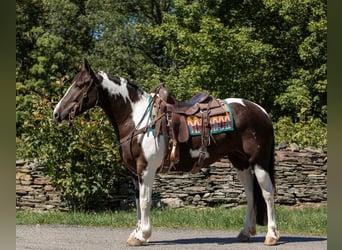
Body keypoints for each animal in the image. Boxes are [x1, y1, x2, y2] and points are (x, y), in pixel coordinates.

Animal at [52, 59, 278, 246]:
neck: (138, 119)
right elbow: (137, 202)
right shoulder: (134, 172)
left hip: (259, 161)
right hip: (240, 162)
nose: (57, 113)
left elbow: (145, 201)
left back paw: (271, 236)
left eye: (80, 85)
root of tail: (262, 112)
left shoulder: (146, 169)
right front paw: (136, 234)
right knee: (250, 193)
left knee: (267, 193)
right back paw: (246, 232)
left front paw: (143, 235)